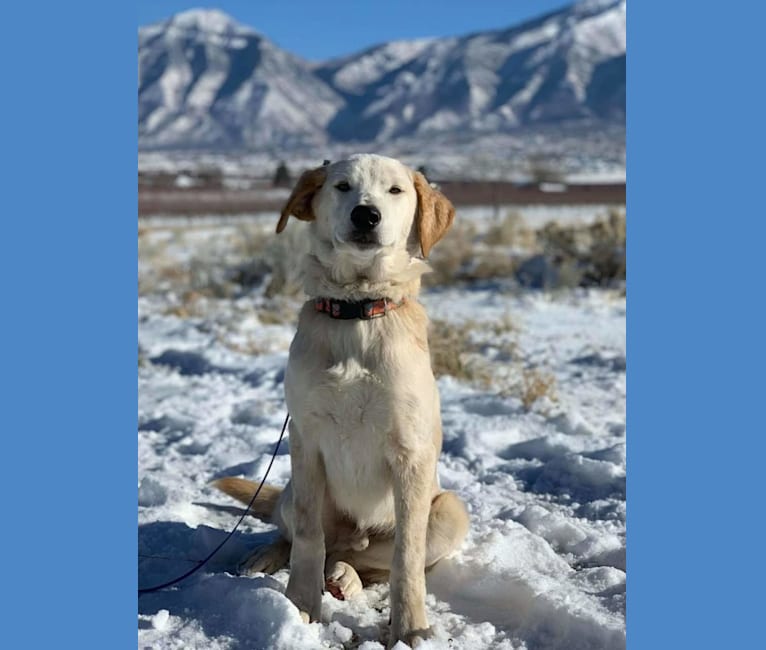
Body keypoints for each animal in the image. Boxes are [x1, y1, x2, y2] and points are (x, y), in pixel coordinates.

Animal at [213, 154, 472, 644]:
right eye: (342, 187)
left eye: (395, 190)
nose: (365, 215)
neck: (357, 312)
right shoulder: (306, 438)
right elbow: (308, 537)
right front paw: (299, 607)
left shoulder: (411, 453)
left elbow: (406, 559)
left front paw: (411, 628)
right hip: (294, 484)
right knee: (307, 536)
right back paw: (270, 557)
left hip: (450, 509)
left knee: (364, 560)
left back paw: (346, 577)